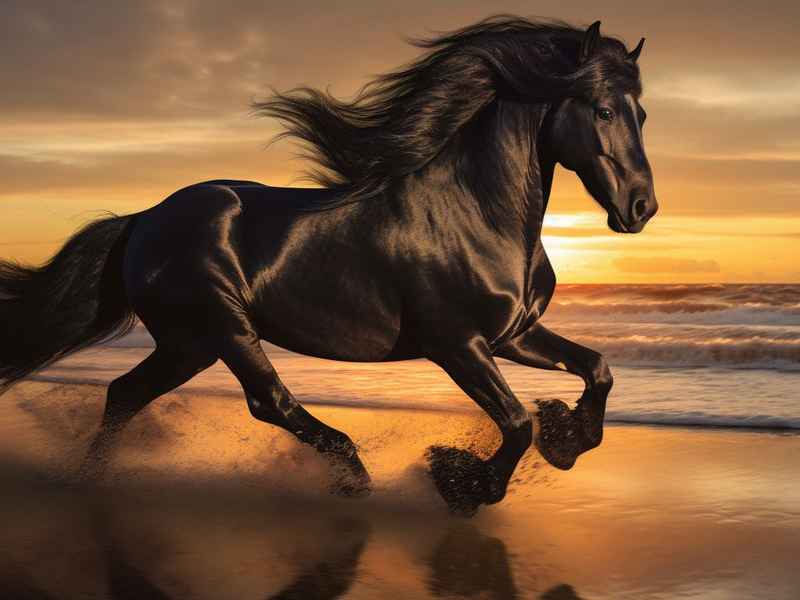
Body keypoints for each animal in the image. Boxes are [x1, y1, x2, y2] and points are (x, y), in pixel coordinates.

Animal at [0, 16, 657, 515]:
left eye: (642, 115)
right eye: (602, 111)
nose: (641, 208)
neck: (474, 212)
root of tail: (145, 218)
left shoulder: (512, 334)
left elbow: (597, 368)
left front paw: (568, 438)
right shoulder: (457, 344)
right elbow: (517, 421)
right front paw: (460, 482)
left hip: (190, 343)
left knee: (125, 394)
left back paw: (88, 483)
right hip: (222, 327)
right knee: (267, 401)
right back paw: (354, 475)